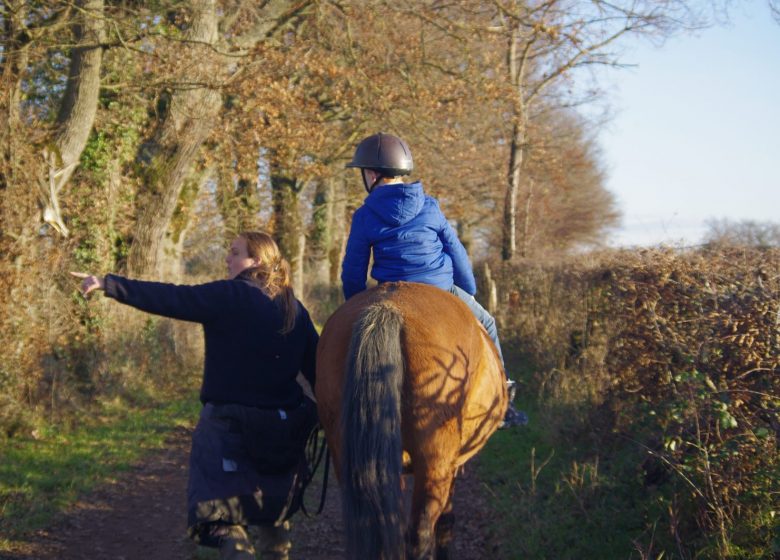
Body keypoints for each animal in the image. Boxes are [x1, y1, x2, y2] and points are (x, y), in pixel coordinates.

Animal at [314, 284, 508, 560]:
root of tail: (387, 309)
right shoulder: (451, 464)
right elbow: (446, 520)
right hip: (435, 461)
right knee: (420, 532)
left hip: (347, 455)